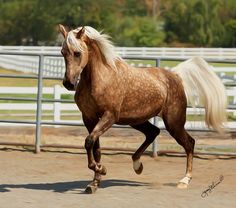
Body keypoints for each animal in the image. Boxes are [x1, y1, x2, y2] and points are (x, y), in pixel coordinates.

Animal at [58, 25, 226, 194]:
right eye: (62, 52)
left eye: (77, 53)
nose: (68, 83)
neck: (99, 79)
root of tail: (175, 76)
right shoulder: (89, 118)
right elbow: (95, 147)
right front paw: (94, 183)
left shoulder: (109, 116)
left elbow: (89, 142)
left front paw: (101, 169)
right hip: (136, 120)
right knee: (153, 132)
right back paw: (137, 165)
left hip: (174, 123)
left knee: (189, 143)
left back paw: (184, 180)